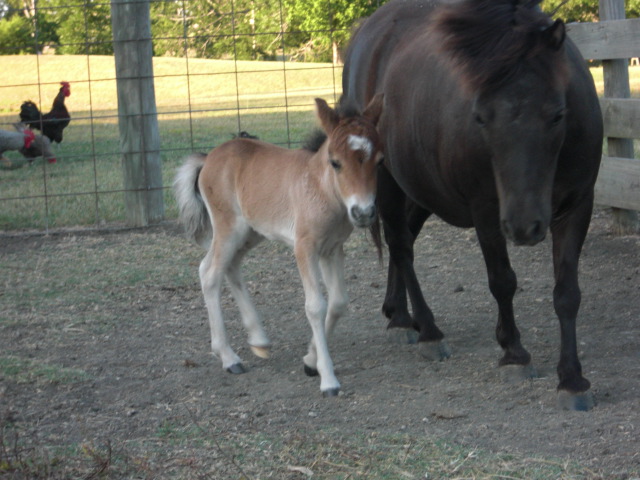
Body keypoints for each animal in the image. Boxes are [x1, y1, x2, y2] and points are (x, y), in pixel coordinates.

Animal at [342, 0, 604, 410]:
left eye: (557, 114)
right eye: (480, 117)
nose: (524, 225)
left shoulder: (577, 206)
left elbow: (567, 293)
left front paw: (572, 378)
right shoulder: (487, 210)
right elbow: (502, 281)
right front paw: (514, 352)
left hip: (420, 187)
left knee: (406, 239)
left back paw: (399, 315)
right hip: (385, 177)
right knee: (400, 246)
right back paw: (428, 330)